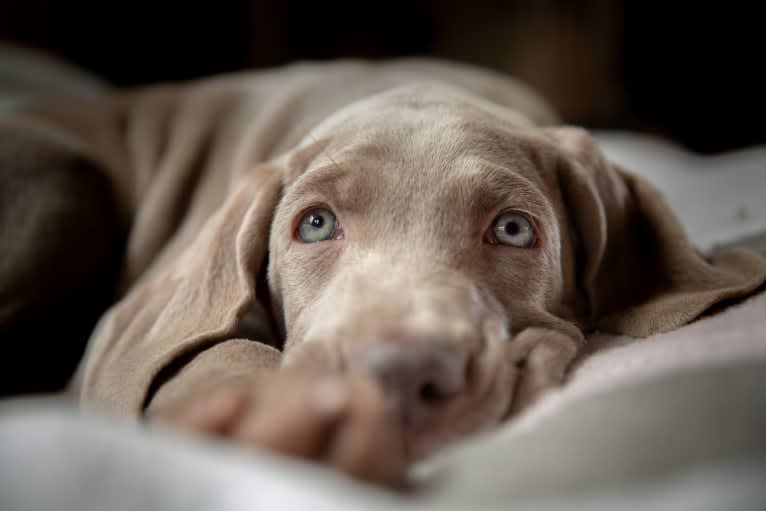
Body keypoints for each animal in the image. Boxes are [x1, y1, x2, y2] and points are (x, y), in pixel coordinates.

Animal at [1, 59, 766, 484]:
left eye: (513, 229)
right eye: (315, 224)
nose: (398, 374)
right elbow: (207, 350)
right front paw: (276, 419)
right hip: (62, 185)